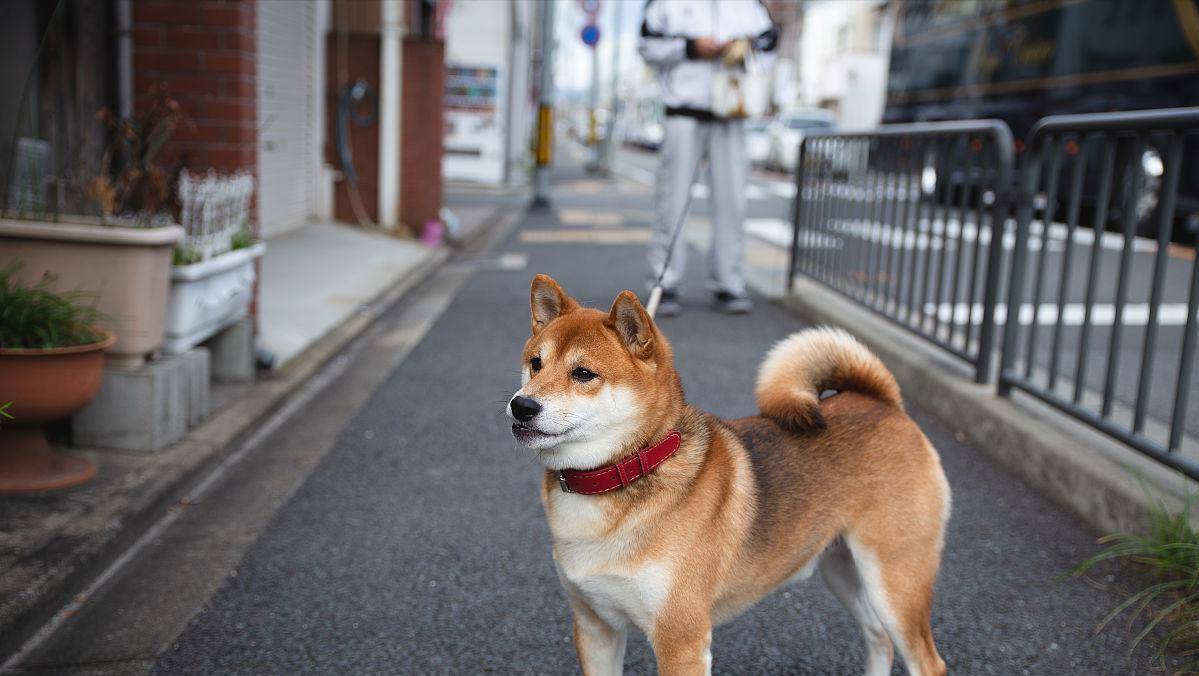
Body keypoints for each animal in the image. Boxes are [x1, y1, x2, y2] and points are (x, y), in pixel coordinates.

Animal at [510, 274, 949, 676]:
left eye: (583, 373)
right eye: (536, 364)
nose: (521, 406)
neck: (625, 471)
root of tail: (885, 404)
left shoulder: (681, 641)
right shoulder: (595, 627)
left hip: (895, 582)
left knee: (927, 661)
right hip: (842, 568)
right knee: (878, 637)